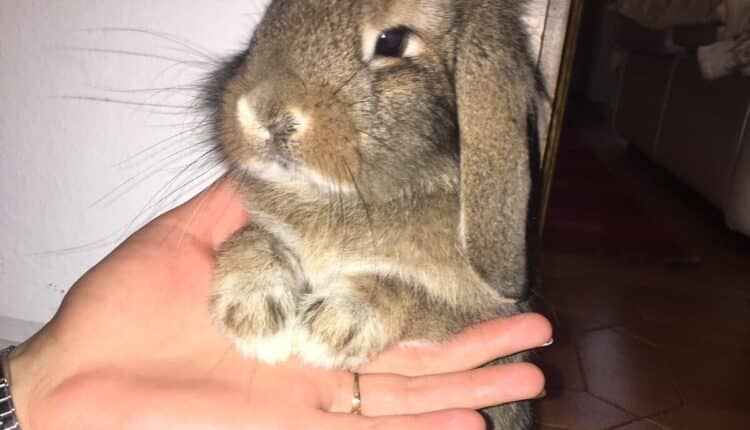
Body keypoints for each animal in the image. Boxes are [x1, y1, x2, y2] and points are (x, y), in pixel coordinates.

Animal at [205, 0, 541, 427]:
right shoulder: (267, 232)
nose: (261, 114)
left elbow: (411, 293)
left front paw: (331, 327)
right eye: (265, 23)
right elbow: (255, 240)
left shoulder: (477, 314)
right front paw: (255, 317)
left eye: (392, 41)